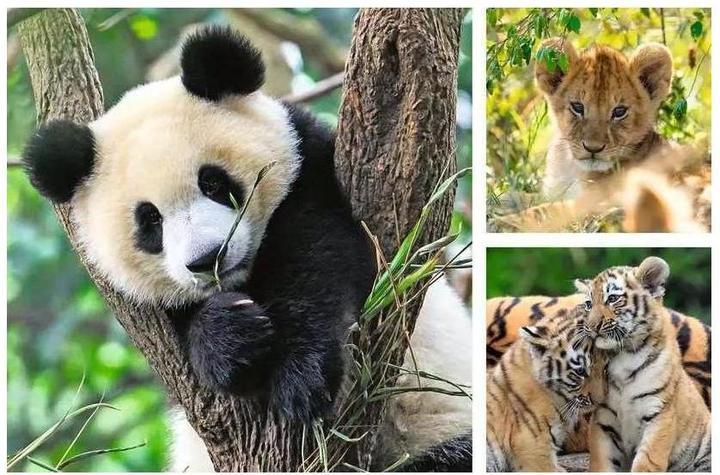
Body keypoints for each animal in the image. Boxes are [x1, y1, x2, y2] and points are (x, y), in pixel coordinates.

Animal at [22, 26, 471, 472]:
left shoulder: (311, 170)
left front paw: (301, 378)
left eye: (213, 182)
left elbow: (321, 258)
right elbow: (184, 341)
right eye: (150, 220)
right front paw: (230, 336)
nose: (208, 259)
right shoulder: (151, 316)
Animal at [577, 256, 710, 472]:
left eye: (612, 299)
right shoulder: (603, 420)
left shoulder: (659, 413)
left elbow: (647, 462)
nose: (590, 326)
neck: (622, 354)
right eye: (589, 304)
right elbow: (602, 462)